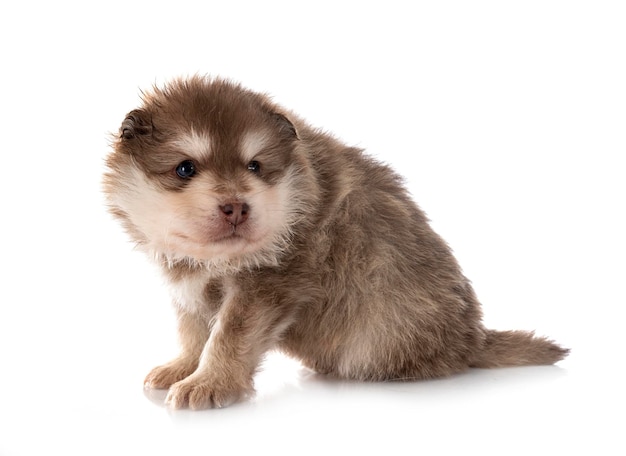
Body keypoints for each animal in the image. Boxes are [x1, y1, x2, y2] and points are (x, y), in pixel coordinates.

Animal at [105, 75, 568, 410]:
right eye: (185, 168)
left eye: (255, 166)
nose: (236, 207)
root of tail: (472, 340)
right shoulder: (193, 285)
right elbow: (195, 330)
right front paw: (182, 368)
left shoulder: (268, 287)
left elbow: (227, 337)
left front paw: (208, 382)